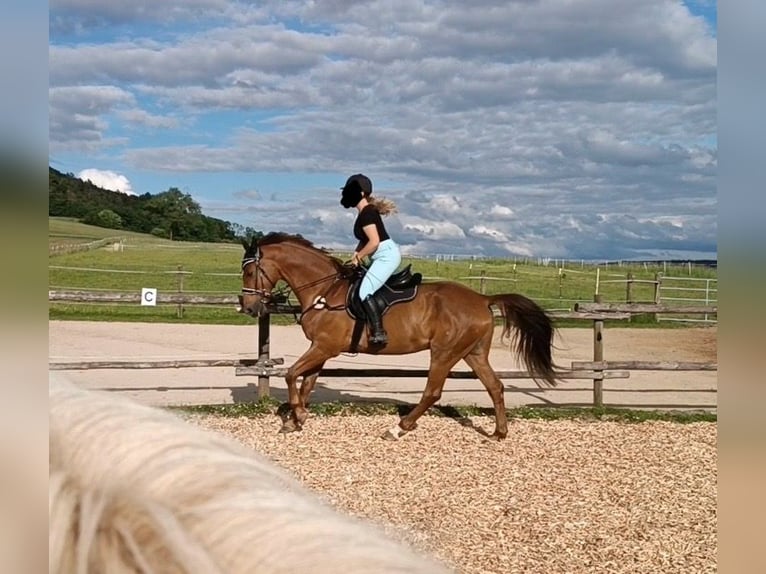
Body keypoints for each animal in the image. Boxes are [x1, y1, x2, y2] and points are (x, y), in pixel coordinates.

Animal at [239, 232, 560, 440]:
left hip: (445, 353)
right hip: (473, 353)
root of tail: (482, 298)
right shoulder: (322, 348)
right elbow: (306, 383)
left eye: (251, 272)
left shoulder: (324, 347)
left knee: (433, 392)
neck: (325, 291)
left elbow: (292, 374)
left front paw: (299, 416)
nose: (249, 307)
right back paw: (498, 433)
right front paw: (296, 420)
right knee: (495, 386)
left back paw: (399, 427)